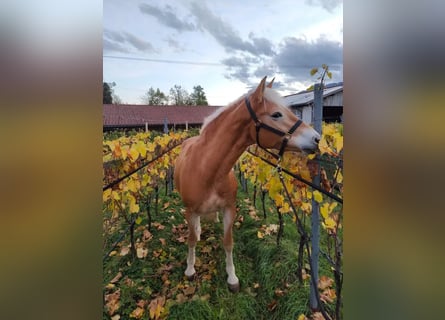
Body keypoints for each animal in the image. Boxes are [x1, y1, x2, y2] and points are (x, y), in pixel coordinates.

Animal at [173, 76, 320, 292]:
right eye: (276, 114)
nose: (317, 138)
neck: (207, 169)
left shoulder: (229, 209)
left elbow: (228, 242)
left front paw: (232, 278)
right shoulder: (190, 211)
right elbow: (191, 240)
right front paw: (190, 269)